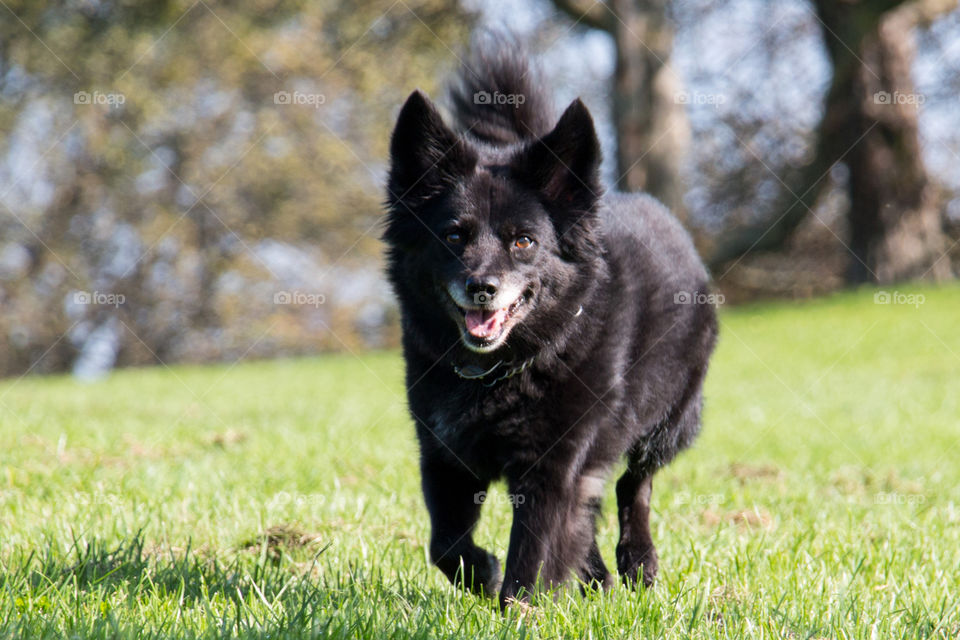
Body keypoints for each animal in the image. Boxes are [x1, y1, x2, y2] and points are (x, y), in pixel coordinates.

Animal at [382, 43, 712, 604]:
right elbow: (445, 545)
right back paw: (596, 578)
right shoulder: (443, 456)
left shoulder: (552, 465)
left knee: (634, 485)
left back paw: (637, 562)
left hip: (669, 420)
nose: (482, 287)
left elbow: (534, 552)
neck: (499, 373)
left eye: (523, 241)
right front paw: (485, 575)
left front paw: (518, 607)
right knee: (591, 507)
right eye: (453, 235)